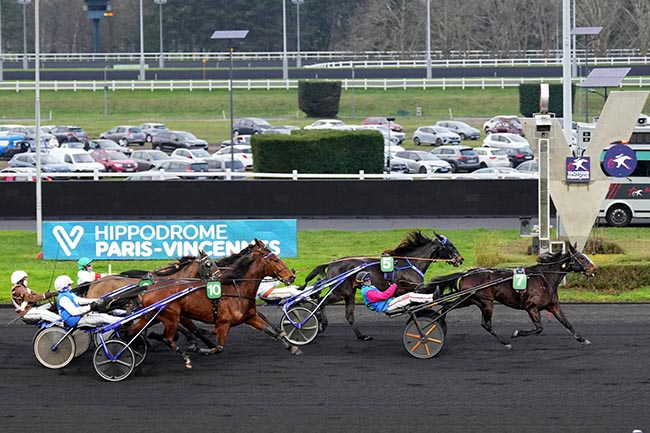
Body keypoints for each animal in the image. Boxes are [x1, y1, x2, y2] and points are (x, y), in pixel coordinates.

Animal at [124, 240, 298, 368]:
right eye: (276, 260)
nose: (292, 276)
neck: (236, 288)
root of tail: (148, 289)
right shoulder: (223, 323)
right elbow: (218, 348)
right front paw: (200, 349)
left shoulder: (250, 317)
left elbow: (271, 331)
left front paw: (292, 347)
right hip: (171, 316)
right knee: (168, 338)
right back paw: (185, 356)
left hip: (151, 316)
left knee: (130, 333)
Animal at [298, 231, 460, 340]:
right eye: (450, 246)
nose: (460, 259)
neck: (410, 263)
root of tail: (331, 263)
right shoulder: (406, 288)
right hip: (341, 292)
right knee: (321, 300)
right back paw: (320, 324)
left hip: (349, 293)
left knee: (348, 315)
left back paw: (361, 336)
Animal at [418, 243, 596, 348]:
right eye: (581, 258)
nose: (594, 269)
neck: (545, 277)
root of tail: (468, 273)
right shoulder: (531, 307)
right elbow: (539, 328)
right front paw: (516, 333)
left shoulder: (553, 306)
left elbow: (567, 324)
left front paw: (583, 339)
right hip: (485, 302)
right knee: (485, 324)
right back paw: (505, 342)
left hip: (470, 299)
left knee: (448, 306)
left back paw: (437, 324)